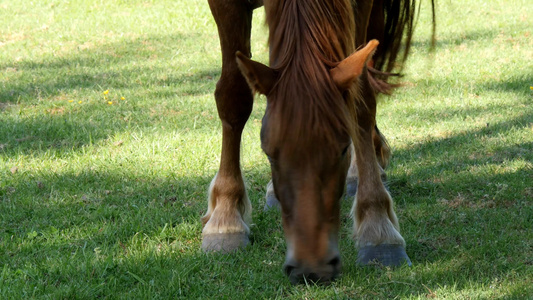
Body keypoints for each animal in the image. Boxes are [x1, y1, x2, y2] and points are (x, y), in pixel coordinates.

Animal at [200, 0, 432, 284]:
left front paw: (377, 227)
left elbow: (361, 100)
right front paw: (226, 217)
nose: (311, 269)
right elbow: (233, 95)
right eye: (269, 154)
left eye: (342, 149)